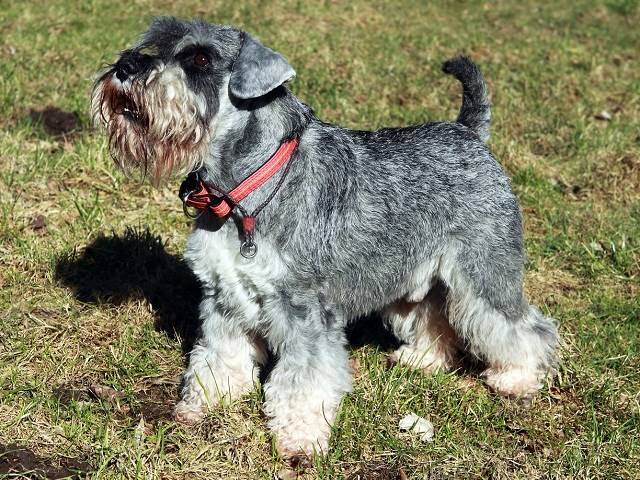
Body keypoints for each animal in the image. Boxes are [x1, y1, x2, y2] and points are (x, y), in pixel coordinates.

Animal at [91, 16, 560, 466]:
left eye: (200, 59)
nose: (126, 66)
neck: (247, 190)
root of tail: (468, 133)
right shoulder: (224, 300)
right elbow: (219, 356)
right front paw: (203, 404)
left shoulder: (306, 314)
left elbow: (304, 381)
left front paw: (299, 442)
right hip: (413, 276)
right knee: (433, 315)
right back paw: (422, 359)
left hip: (485, 272)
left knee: (521, 326)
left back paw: (516, 378)